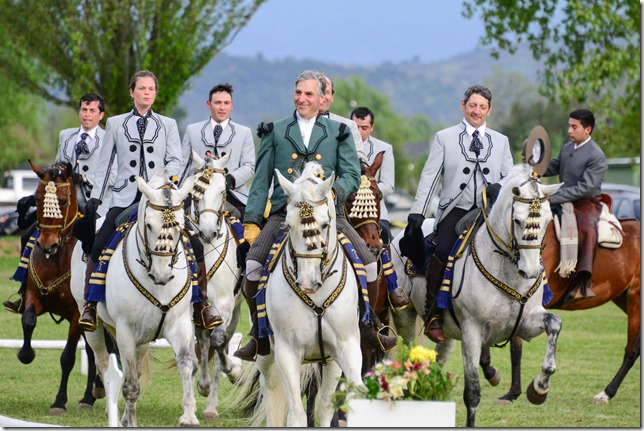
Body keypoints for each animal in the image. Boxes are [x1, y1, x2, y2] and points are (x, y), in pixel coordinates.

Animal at [16, 161, 102, 416]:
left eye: (62, 201)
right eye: (37, 197)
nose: (48, 244)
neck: (57, 258)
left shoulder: (76, 315)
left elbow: (68, 357)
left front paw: (59, 402)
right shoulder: (34, 297)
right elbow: (28, 321)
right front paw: (25, 354)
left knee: (93, 352)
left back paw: (89, 396)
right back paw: (89, 396)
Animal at [70, 172, 199, 428]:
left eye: (180, 226)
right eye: (149, 224)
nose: (162, 275)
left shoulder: (179, 325)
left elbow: (186, 364)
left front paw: (189, 416)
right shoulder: (126, 332)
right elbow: (129, 383)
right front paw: (129, 421)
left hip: (145, 336)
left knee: (137, 368)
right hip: (94, 327)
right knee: (104, 364)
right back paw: (111, 411)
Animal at [494, 218, 640, 406]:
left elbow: (515, 346)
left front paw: (511, 391)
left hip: (635, 298)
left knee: (632, 349)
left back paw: (606, 393)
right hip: (624, 298)